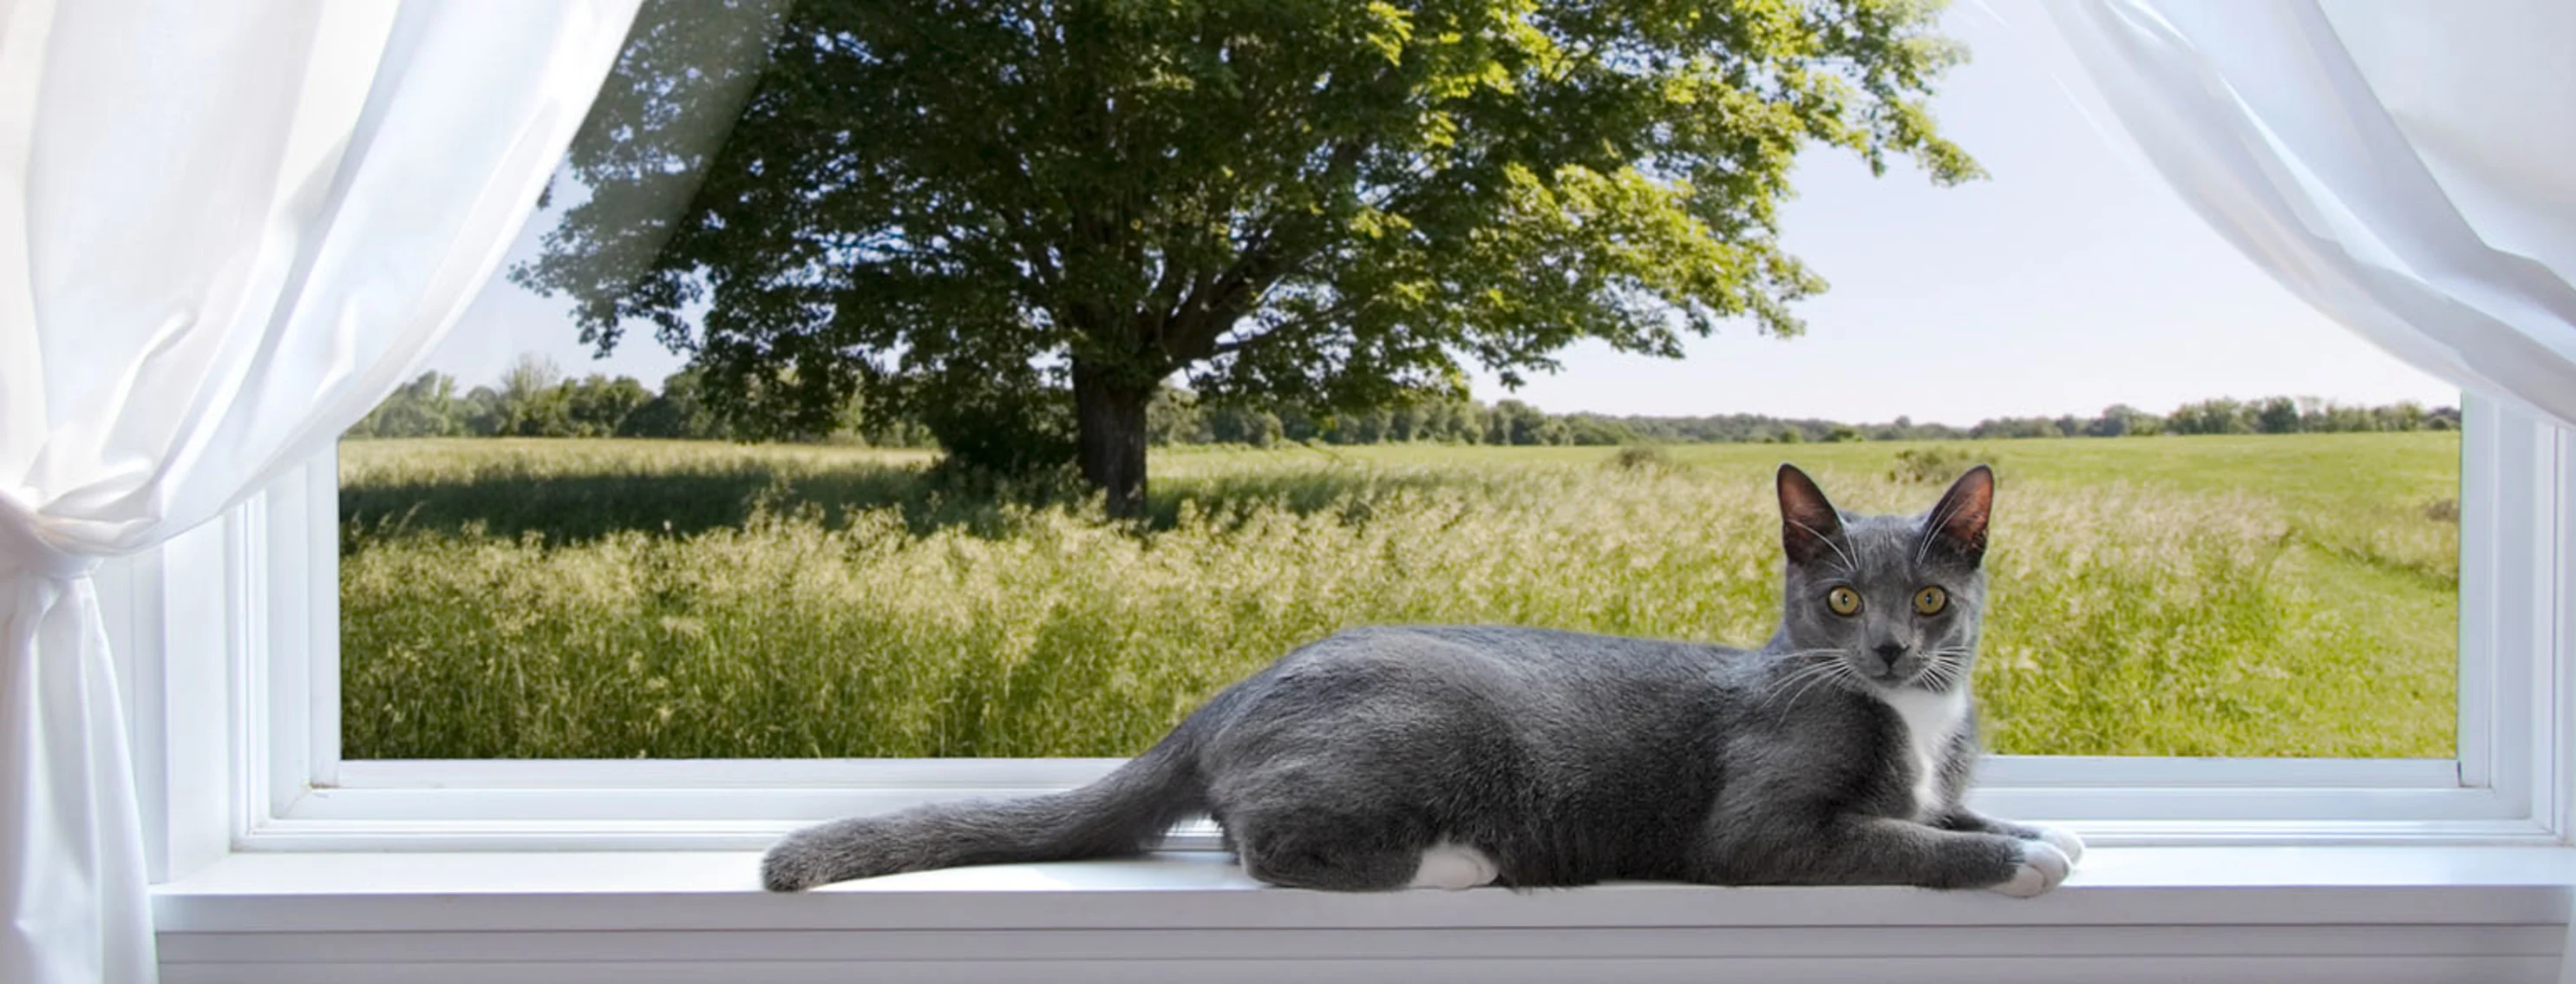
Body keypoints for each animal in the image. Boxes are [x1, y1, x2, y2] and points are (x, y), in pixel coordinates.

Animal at [757, 466, 2070, 896]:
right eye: (1842, 600)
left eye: (1932, 599)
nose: (1890, 649)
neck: (1915, 717)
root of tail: (1226, 695)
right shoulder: (1759, 828)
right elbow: (1888, 838)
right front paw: (2015, 859)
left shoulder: (1930, 773)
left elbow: (1943, 810)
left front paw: (2034, 826)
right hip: (1415, 737)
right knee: (1273, 845)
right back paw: (1459, 860)